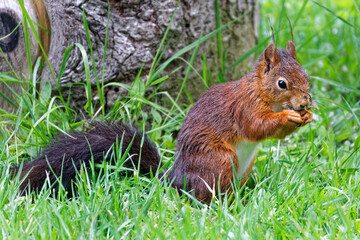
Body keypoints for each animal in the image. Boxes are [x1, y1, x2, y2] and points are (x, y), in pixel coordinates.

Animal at [12, 40, 312, 202]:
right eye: (282, 83)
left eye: (305, 74)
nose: (305, 102)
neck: (261, 92)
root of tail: (175, 179)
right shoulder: (244, 108)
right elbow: (256, 127)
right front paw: (288, 115)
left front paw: (306, 117)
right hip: (217, 160)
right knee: (205, 197)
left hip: (243, 166)